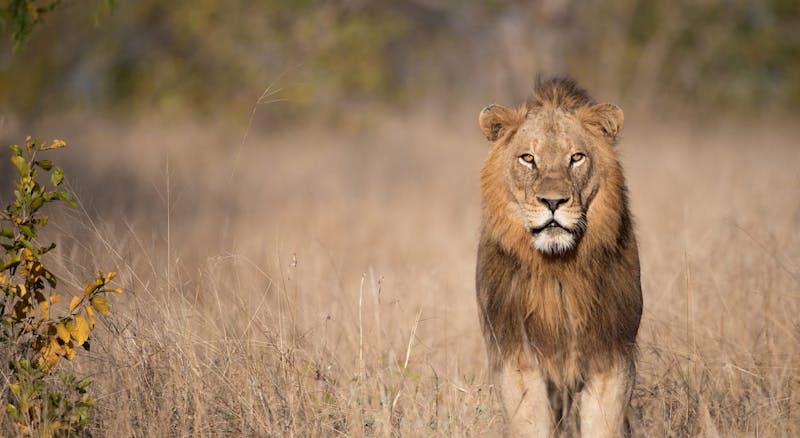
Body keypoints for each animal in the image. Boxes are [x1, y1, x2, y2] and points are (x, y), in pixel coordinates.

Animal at [476, 77, 644, 436]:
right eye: (528, 158)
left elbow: (603, 425)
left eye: (576, 157)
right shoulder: (517, 358)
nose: (553, 202)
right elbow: (531, 424)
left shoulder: (612, 356)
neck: (557, 271)